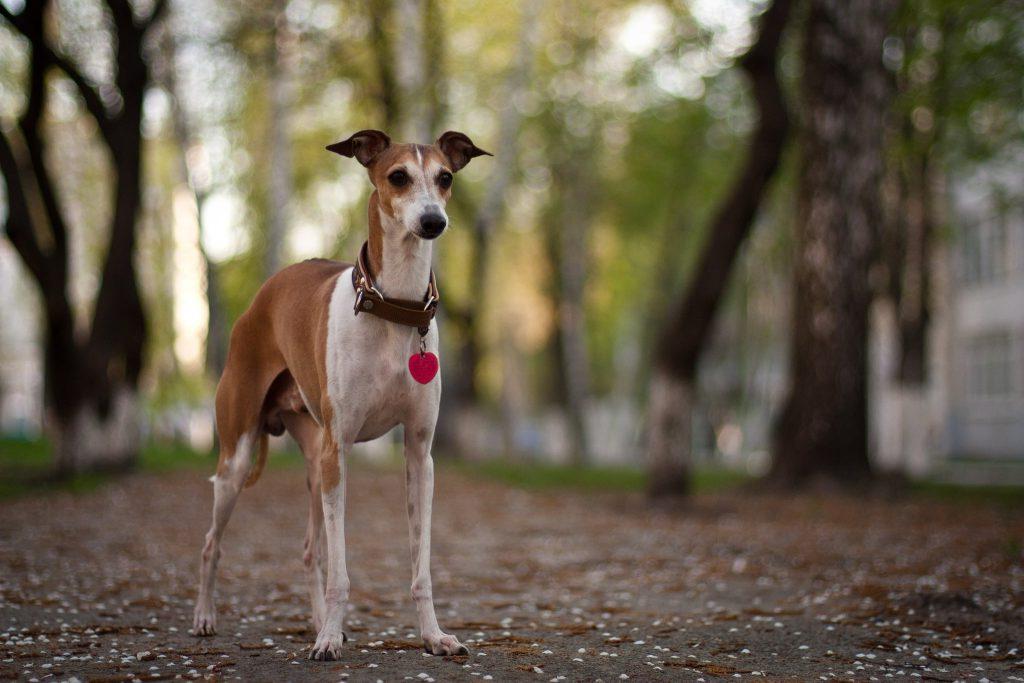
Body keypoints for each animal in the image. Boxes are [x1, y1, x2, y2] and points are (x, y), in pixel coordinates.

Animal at [193, 129, 493, 663]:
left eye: (445, 178)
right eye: (398, 176)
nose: (433, 222)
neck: (394, 307)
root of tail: (264, 294)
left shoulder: (419, 453)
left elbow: (420, 565)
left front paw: (434, 635)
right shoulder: (341, 452)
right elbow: (341, 572)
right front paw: (330, 639)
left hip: (316, 463)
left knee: (311, 550)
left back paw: (314, 622)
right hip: (242, 457)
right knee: (212, 542)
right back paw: (207, 617)